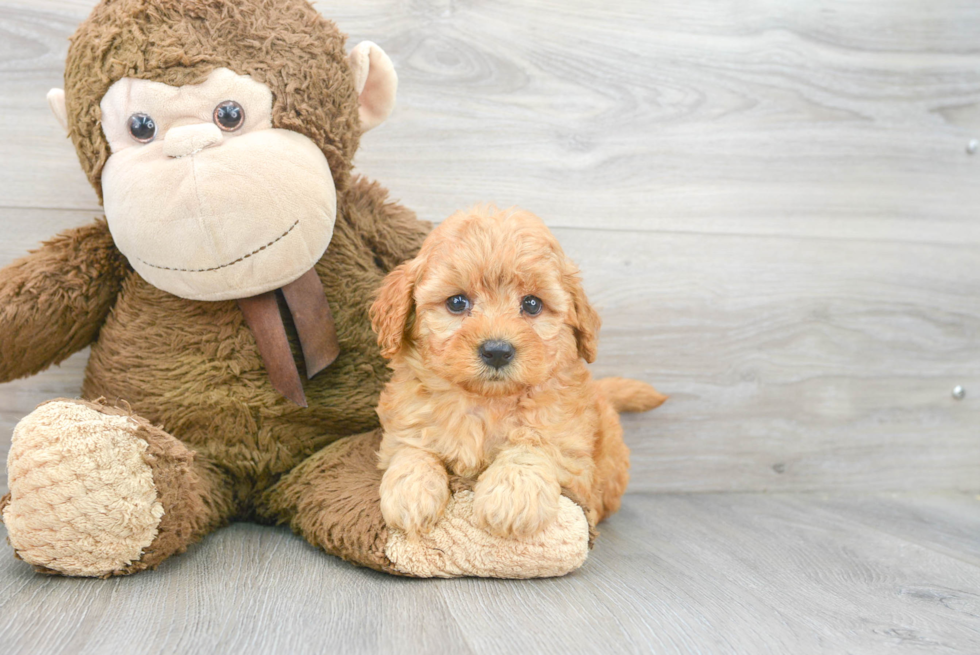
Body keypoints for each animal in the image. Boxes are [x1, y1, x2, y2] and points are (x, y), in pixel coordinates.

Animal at [370, 208, 668, 540]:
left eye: (532, 304)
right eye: (457, 302)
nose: (497, 351)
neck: (485, 401)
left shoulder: (567, 445)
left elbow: (531, 446)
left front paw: (511, 496)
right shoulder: (406, 423)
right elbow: (412, 450)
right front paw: (412, 491)